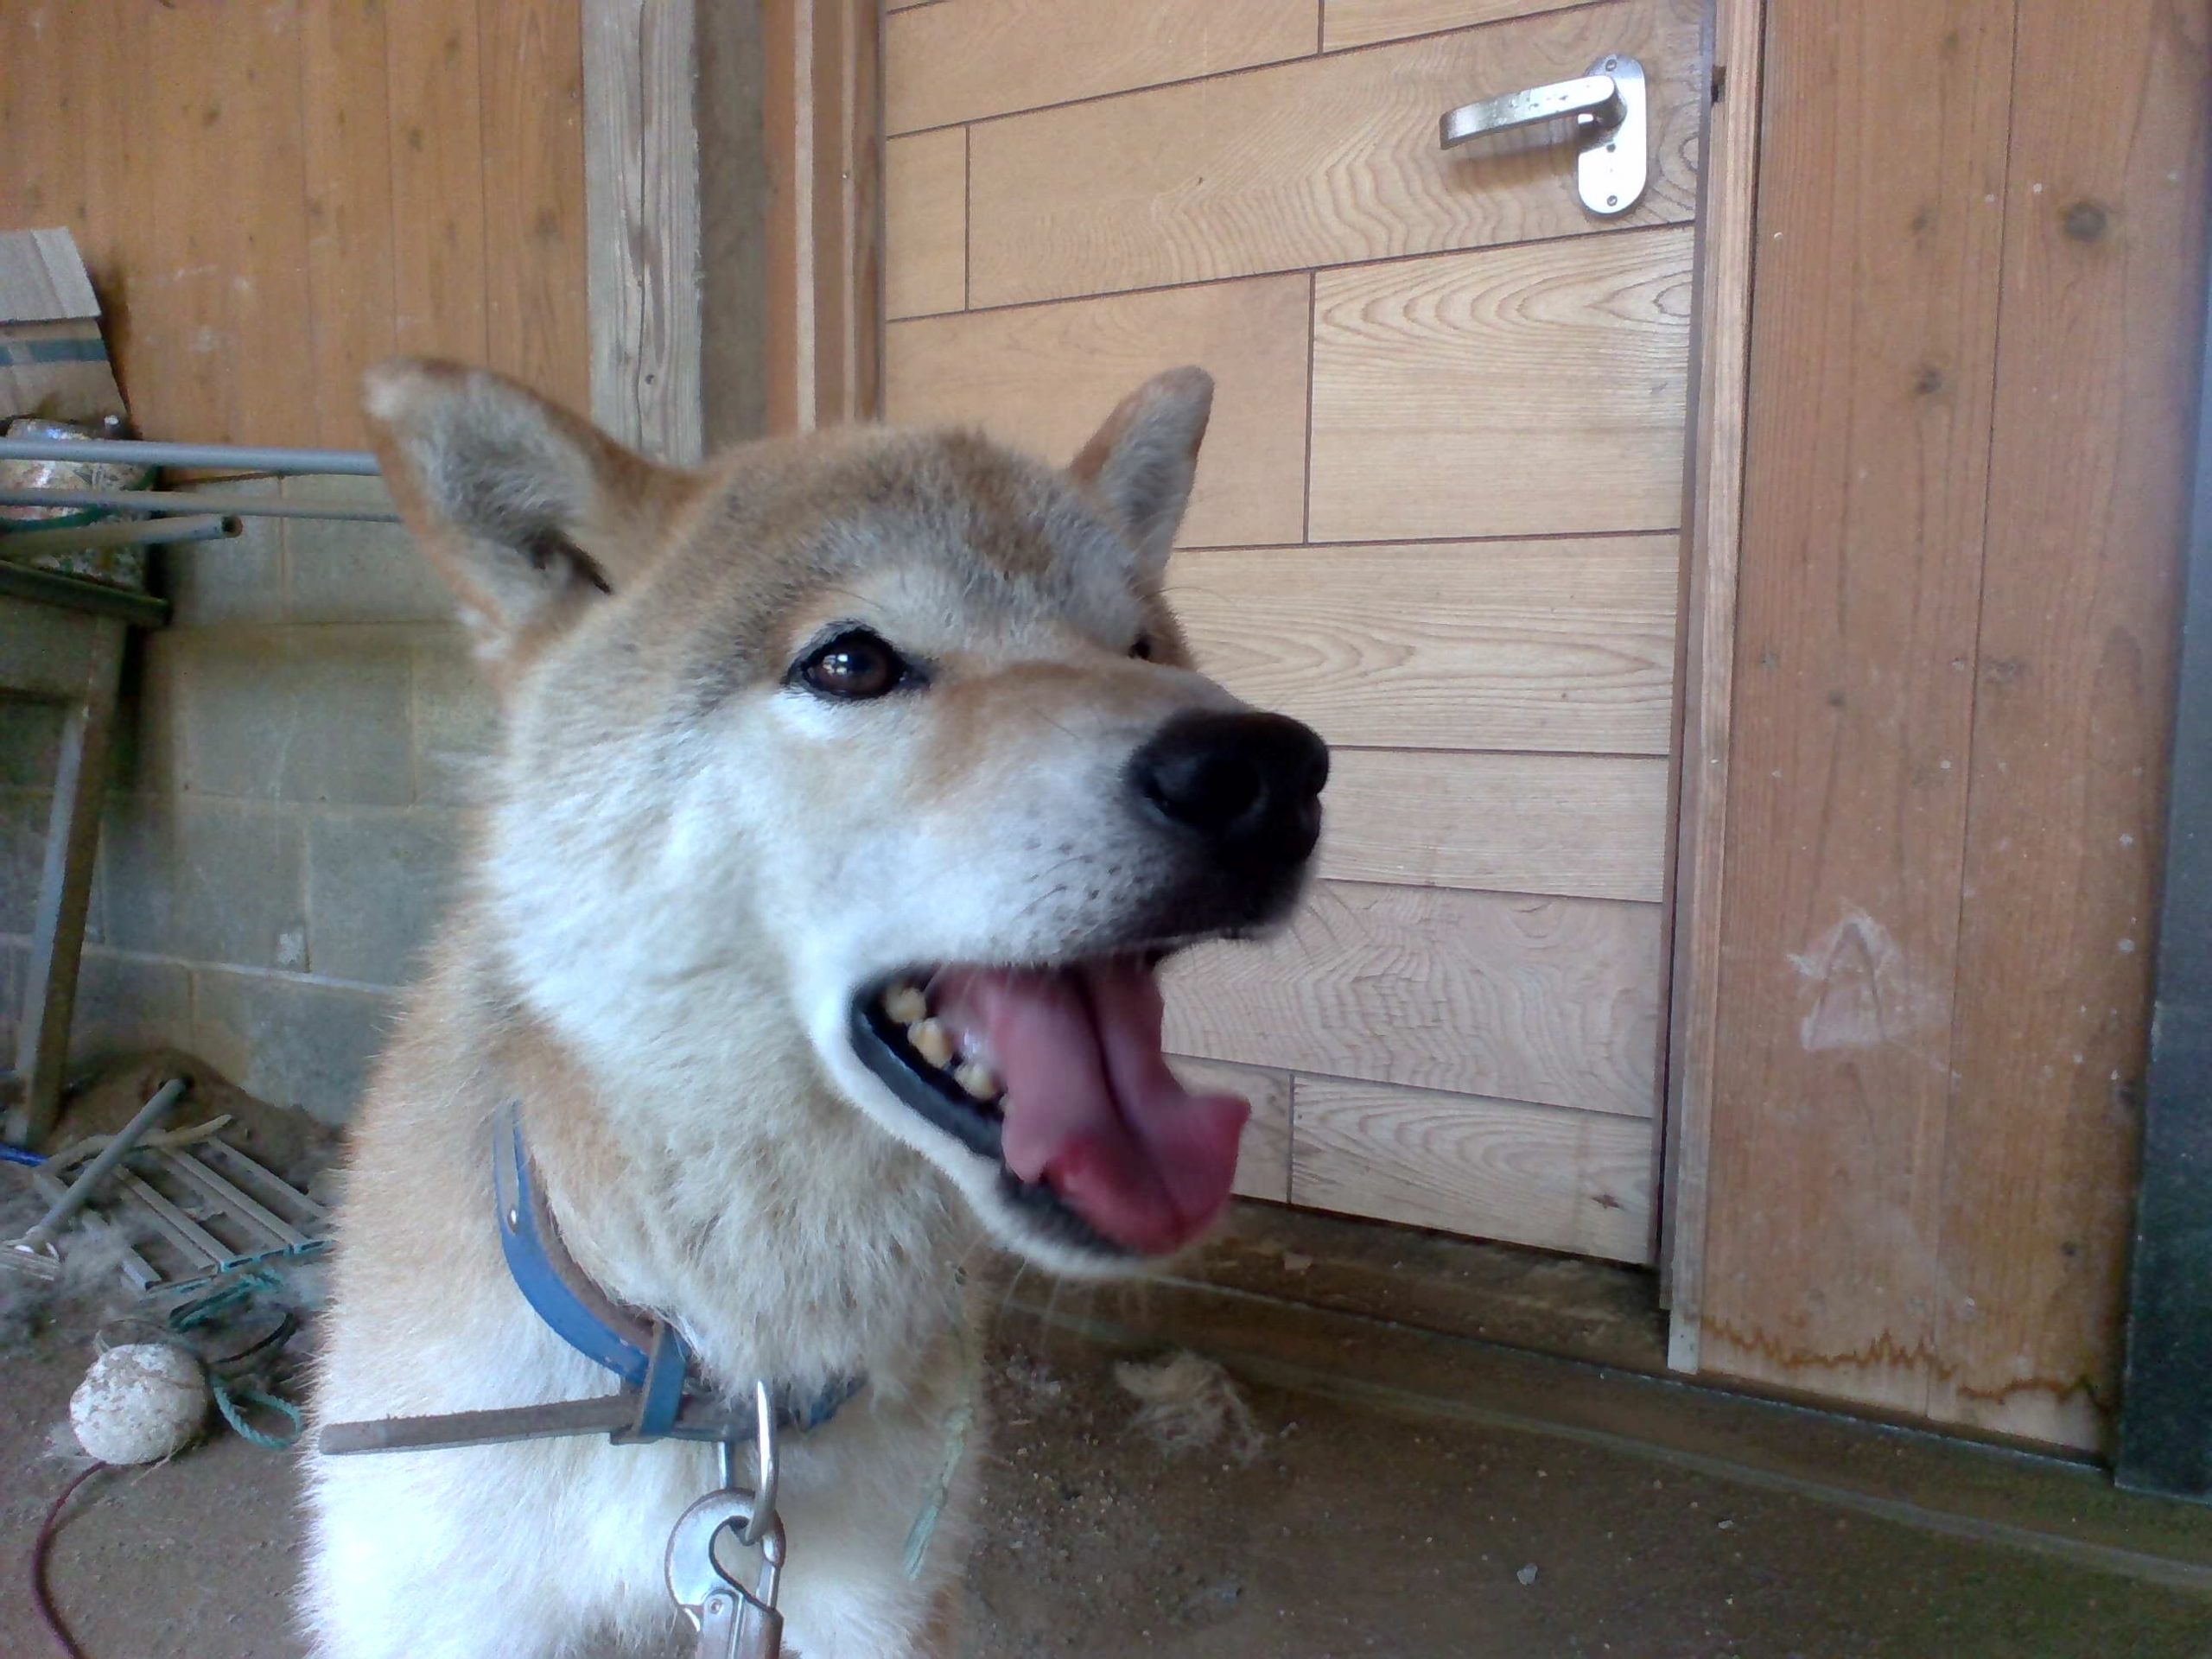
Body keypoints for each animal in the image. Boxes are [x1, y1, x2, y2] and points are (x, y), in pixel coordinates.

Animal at [309, 358, 1327, 1654]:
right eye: (852, 665)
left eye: (1145, 645)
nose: (1267, 775)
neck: (711, 1374)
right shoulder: (449, 1607)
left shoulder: (869, 1601)